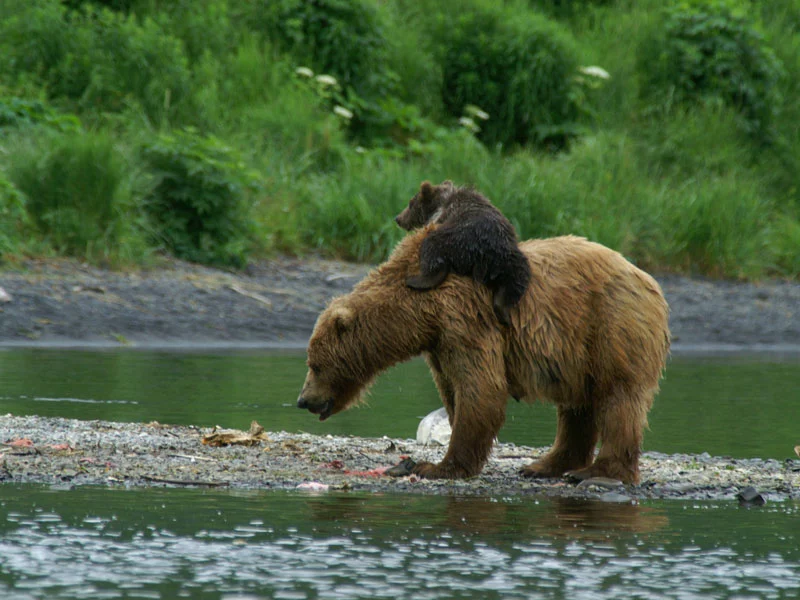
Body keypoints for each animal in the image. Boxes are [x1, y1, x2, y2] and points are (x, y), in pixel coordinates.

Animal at [296, 227, 672, 486]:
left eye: (314, 364)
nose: (303, 400)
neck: (419, 313)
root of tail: (648, 279)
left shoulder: (465, 318)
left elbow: (481, 388)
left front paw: (438, 466)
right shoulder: (439, 344)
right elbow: (453, 391)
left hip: (611, 324)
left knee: (618, 398)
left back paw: (596, 471)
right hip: (577, 352)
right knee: (577, 407)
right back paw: (544, 466)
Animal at [394, 179, 532, 326]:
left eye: (410, 204)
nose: (398, 218)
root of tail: (485, 254)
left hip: (453, 238)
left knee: (432, 252)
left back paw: (414, 280)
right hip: (511, 259)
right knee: (516, 281)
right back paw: (504, 313)